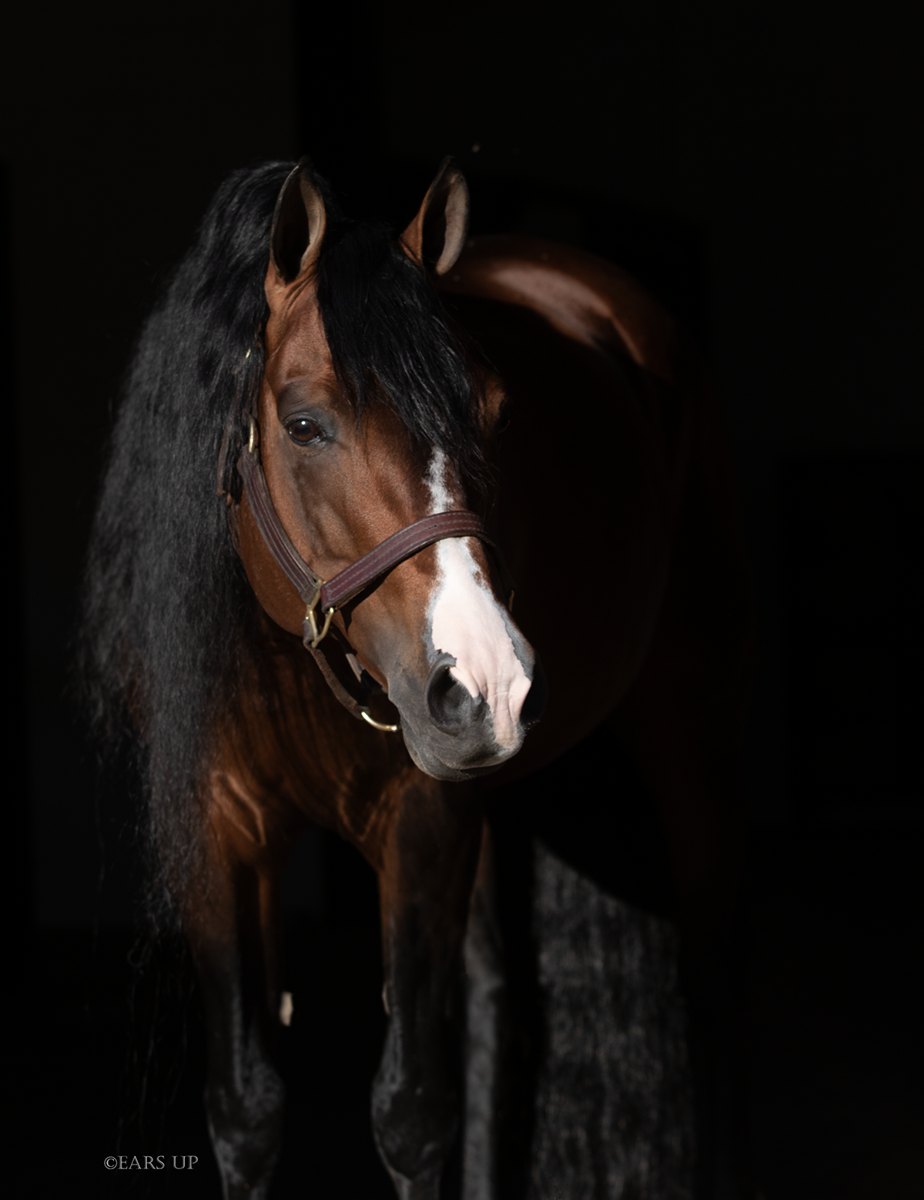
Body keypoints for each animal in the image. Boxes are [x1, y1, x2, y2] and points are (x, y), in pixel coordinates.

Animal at [80, 156, 752, 1199]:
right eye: (304, 423)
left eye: (499, 415)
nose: (488, 688)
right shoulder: (215, 822)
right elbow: (246, 1111)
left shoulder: (423, 819)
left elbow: (410, 1113)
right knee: (498, 1001)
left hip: (690, 719)